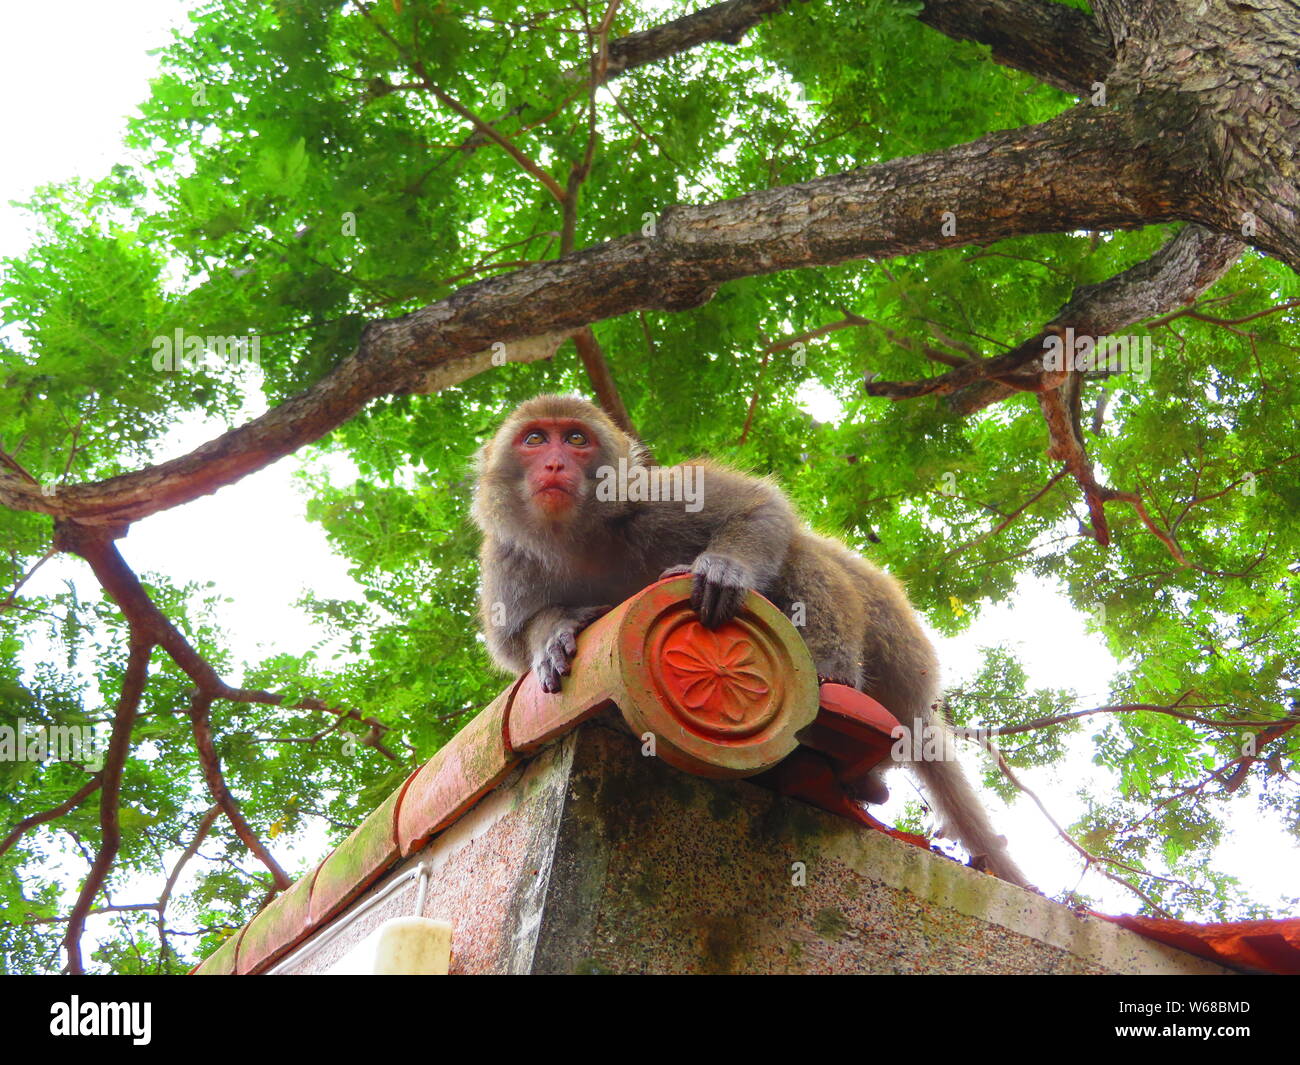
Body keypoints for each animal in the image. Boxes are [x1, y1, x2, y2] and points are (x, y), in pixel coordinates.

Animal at [473, 392, 1029, 889]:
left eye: (575, 439)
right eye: (535, 439)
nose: (553, 463)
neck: (580, 536)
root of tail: (919, 703)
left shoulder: (648, 500)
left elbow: (758, 509)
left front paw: (722, 568)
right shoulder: (506, 560)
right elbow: (515, 639)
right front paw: (552, 637)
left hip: (899, 652)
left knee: (799, 550)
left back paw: (834, 680)